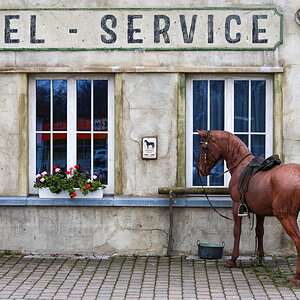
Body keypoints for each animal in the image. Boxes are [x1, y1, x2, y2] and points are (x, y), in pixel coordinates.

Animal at [198, 130, 300, 282]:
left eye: (204, 147)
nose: (200, 169)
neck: (240, 165)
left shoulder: (237, 206)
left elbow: (237, 231)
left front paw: (232, 260)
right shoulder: (260, 211)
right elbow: (260, 232)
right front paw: (260, 258)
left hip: (286, 216)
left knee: (298, 240)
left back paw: (296, 277)